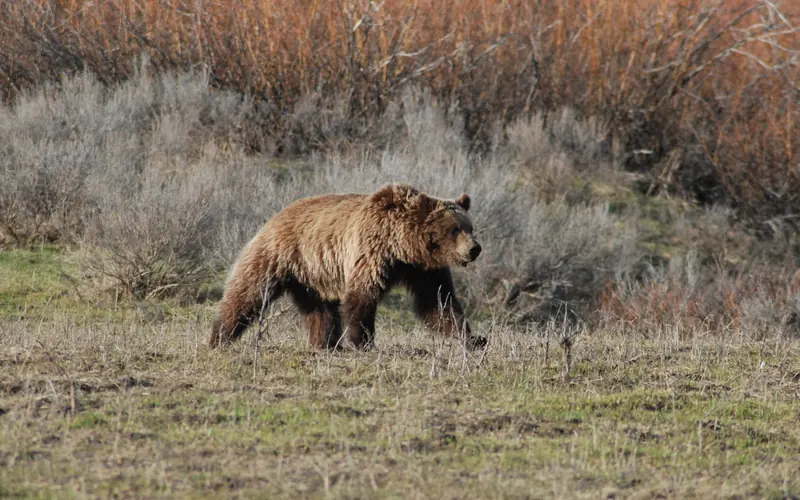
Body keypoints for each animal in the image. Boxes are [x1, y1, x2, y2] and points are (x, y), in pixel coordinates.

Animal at [208, 183, 486, 350]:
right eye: (454, 229)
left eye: (470, 226)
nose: (475, 248)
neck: (404, 246)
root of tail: (275, 216)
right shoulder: (373, 251)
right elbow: (362, 297)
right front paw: (362, 341)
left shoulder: (422, 270)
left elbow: (439, 302)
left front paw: (473, 338)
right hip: (281, 255)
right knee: (248, 292)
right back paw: (219, 336)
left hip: (312, 276)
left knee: (319, 310)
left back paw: (325, 344)